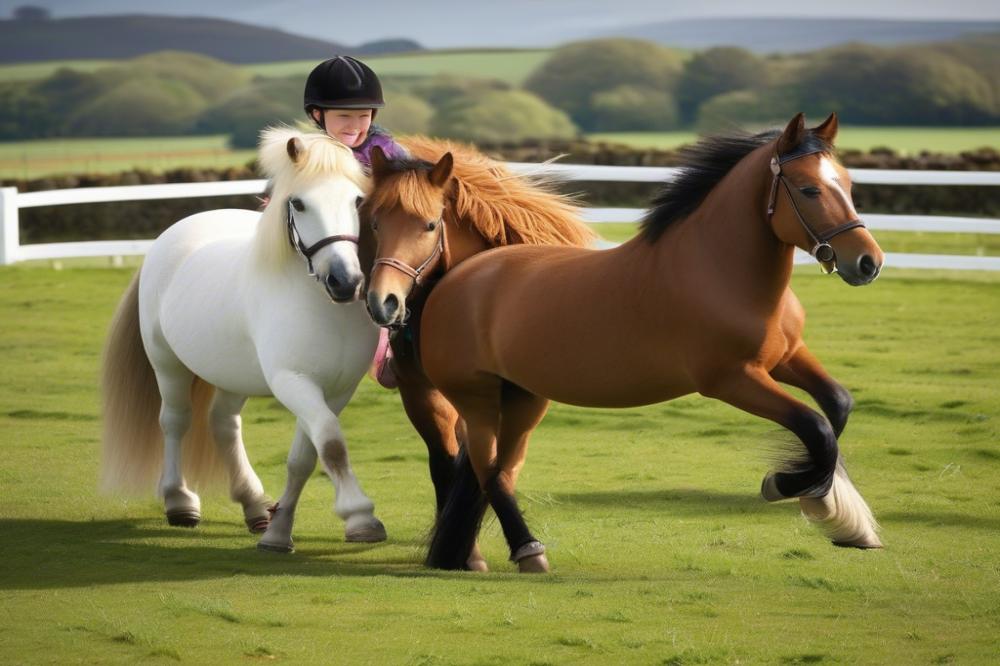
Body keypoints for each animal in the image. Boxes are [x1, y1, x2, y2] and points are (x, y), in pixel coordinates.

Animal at [99, 126, 384, 548]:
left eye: (357, 200)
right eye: (298, 203)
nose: (344, 281)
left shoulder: (335, 389)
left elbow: (310, 452)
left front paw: (288, 525)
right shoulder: (291, 381)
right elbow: (331, 443)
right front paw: (359, 514)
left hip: (231, 375)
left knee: (223, 425)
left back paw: (254, 506)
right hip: (167, 364)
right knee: (175, 421)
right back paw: (180, 501)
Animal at [360, 136, 592, 572]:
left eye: (430, 224)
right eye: (376, 223)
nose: (384, 301)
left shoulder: (523, 397)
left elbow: (501, 467)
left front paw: (517, 546)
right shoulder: (423, 393)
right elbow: (453, 464)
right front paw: (462, 549)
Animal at [420, 114, 884, 572]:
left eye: (847, 184)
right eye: (809, 189)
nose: (868, 262)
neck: (717, 271)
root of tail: (455, 277)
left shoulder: (786, 357)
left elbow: (837, 407)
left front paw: (835, 512)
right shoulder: (733, 380)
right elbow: (815, 426)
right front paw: (784, 485)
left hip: (523, 397)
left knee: (500, 471)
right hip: (477, 398)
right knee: (489, 473)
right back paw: (528, 550)